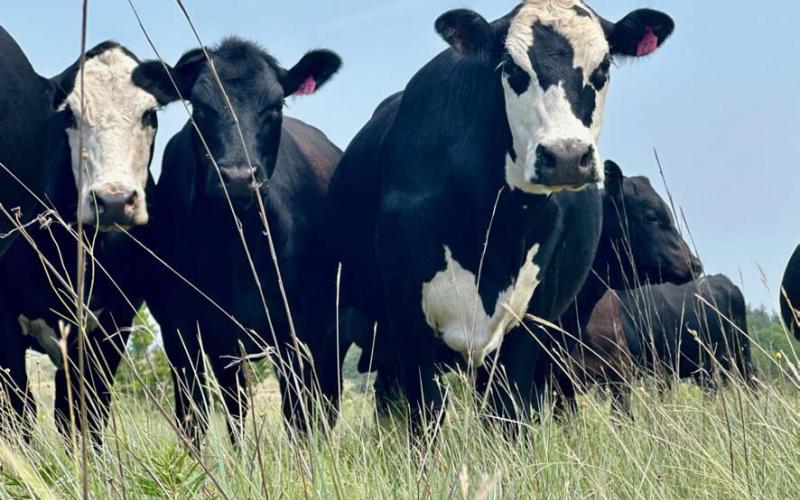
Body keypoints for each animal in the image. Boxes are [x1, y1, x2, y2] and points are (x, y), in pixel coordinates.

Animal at [0, 41, 164, 442]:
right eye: (71, 116)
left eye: (149, 114)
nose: (114, 201)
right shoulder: (4, 325)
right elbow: (19, 414)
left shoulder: (112, 326)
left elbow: (84, 415)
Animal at [131, 38, 343, 445]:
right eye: (199, 106)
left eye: (275, 105)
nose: (238, 176)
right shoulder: (184, 328)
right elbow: (202, 413)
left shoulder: (301, 327)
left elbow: (297, 413)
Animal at [326, 1, 675, 433]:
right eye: (512, 68)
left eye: (604, 67)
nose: (566, 156)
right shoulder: (406, 319)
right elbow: (424, 417)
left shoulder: (529, 327)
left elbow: (508, 416)